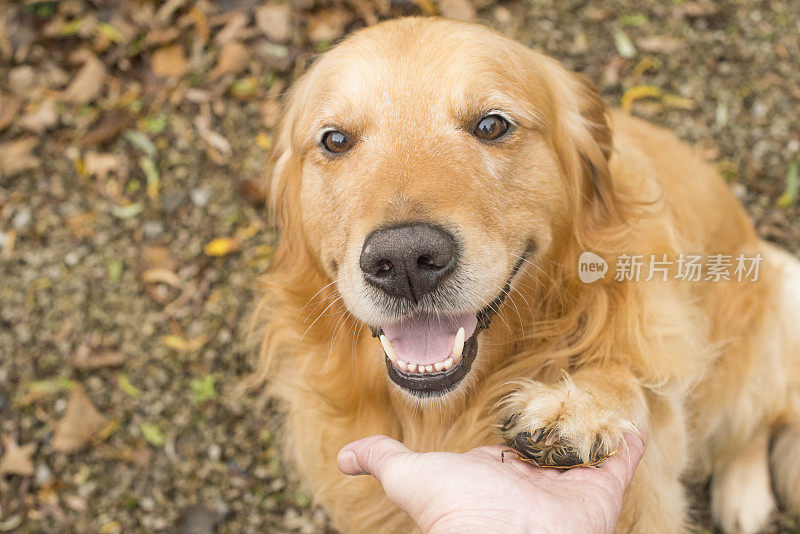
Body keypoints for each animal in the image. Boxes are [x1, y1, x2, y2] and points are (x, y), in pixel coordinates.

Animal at [253, 16, 800, 534]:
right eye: (335, 140)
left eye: (492, 126)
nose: (405, 260)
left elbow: (626, 376)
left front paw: (577, 408)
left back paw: (745, 497)